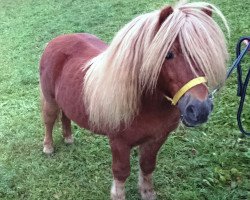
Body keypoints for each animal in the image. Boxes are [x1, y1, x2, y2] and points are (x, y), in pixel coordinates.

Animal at [39, 1, 229, 200]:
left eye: (206, 53)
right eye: (168, 54)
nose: (200, 109)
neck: (146, 105)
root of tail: (55, 41)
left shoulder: (156, 139)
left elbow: (147, 167)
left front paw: (147, 193)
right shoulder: (119, 143)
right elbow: (121, 172)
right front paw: (118, 195)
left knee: (65, 116)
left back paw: (68, 138)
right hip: (50, 100)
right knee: (49, 120)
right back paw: (48, 147)